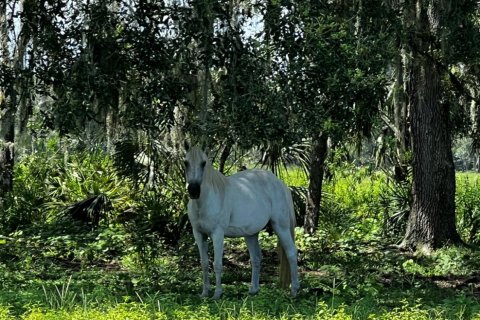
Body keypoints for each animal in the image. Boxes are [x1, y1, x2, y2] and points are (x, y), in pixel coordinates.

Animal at [185, 146, 300, 298]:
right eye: (186, 163)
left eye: (203, 163)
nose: (193, 191)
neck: (205, 201)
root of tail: (281, 184)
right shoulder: (198, 234)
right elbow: (204, 263)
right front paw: (204, 293)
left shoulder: (217, 234)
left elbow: (217, 264)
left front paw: (217, 294)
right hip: (251, 234)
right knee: (256, 258)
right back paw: (253, 290)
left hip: (281, 227)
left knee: (291, 253)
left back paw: (294, 291)